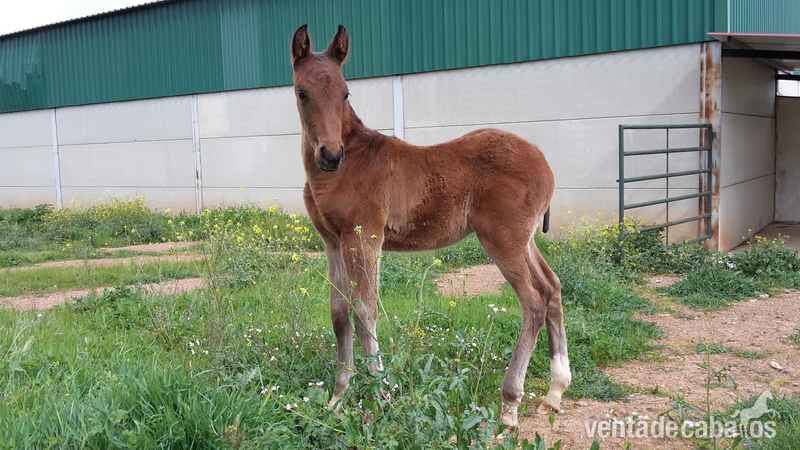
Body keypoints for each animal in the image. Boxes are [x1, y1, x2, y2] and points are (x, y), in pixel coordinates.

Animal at [290, 24, 570, 430]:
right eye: (302, 92)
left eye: (345, 92)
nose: (330, 154)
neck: (346, 166)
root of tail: (545, 163)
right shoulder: (332, 241)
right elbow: (339, 314)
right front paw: (337, 400)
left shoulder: (364, 237)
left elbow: (365, 312)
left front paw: (379, 398)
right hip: (525, 240)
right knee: (552, 287)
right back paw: (555, 390)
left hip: (502, 240)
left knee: (533, 301)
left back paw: (510, 404)